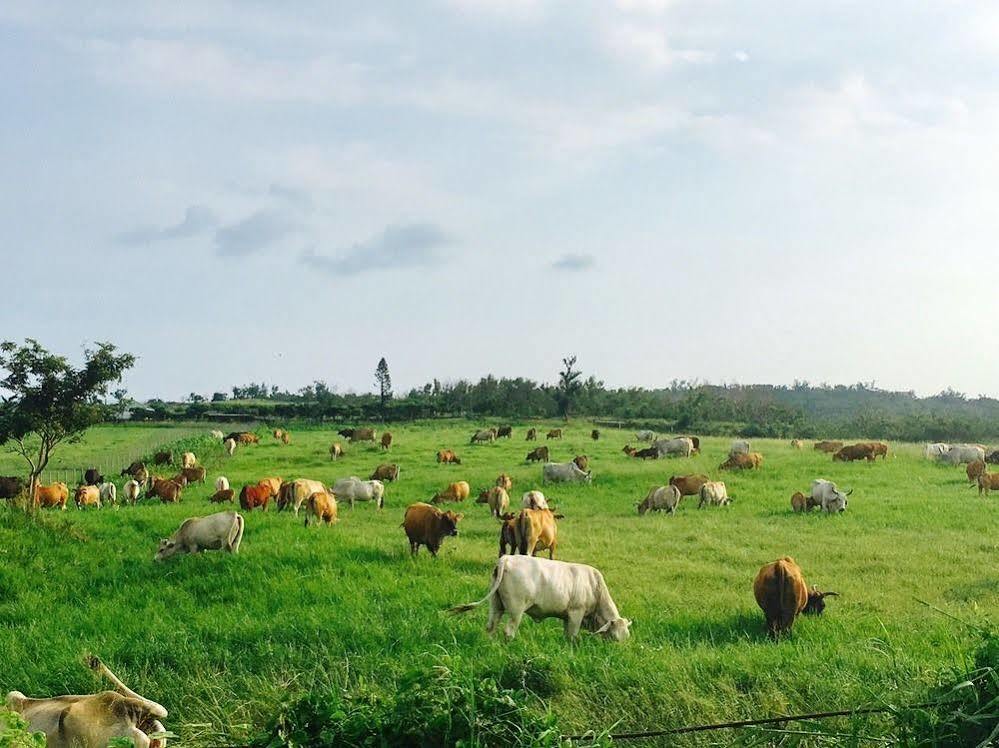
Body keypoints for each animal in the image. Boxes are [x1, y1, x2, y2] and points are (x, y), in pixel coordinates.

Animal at [452, 556, 632, 644]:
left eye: (626, 638)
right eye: (614, 638)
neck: (595, 587)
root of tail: (507, 559)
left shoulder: (567, 617)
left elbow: (567, 635)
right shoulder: (576, 613)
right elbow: (573, 635)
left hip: (496, 605)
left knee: (491, 627)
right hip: (516, 610)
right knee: (508, 631)